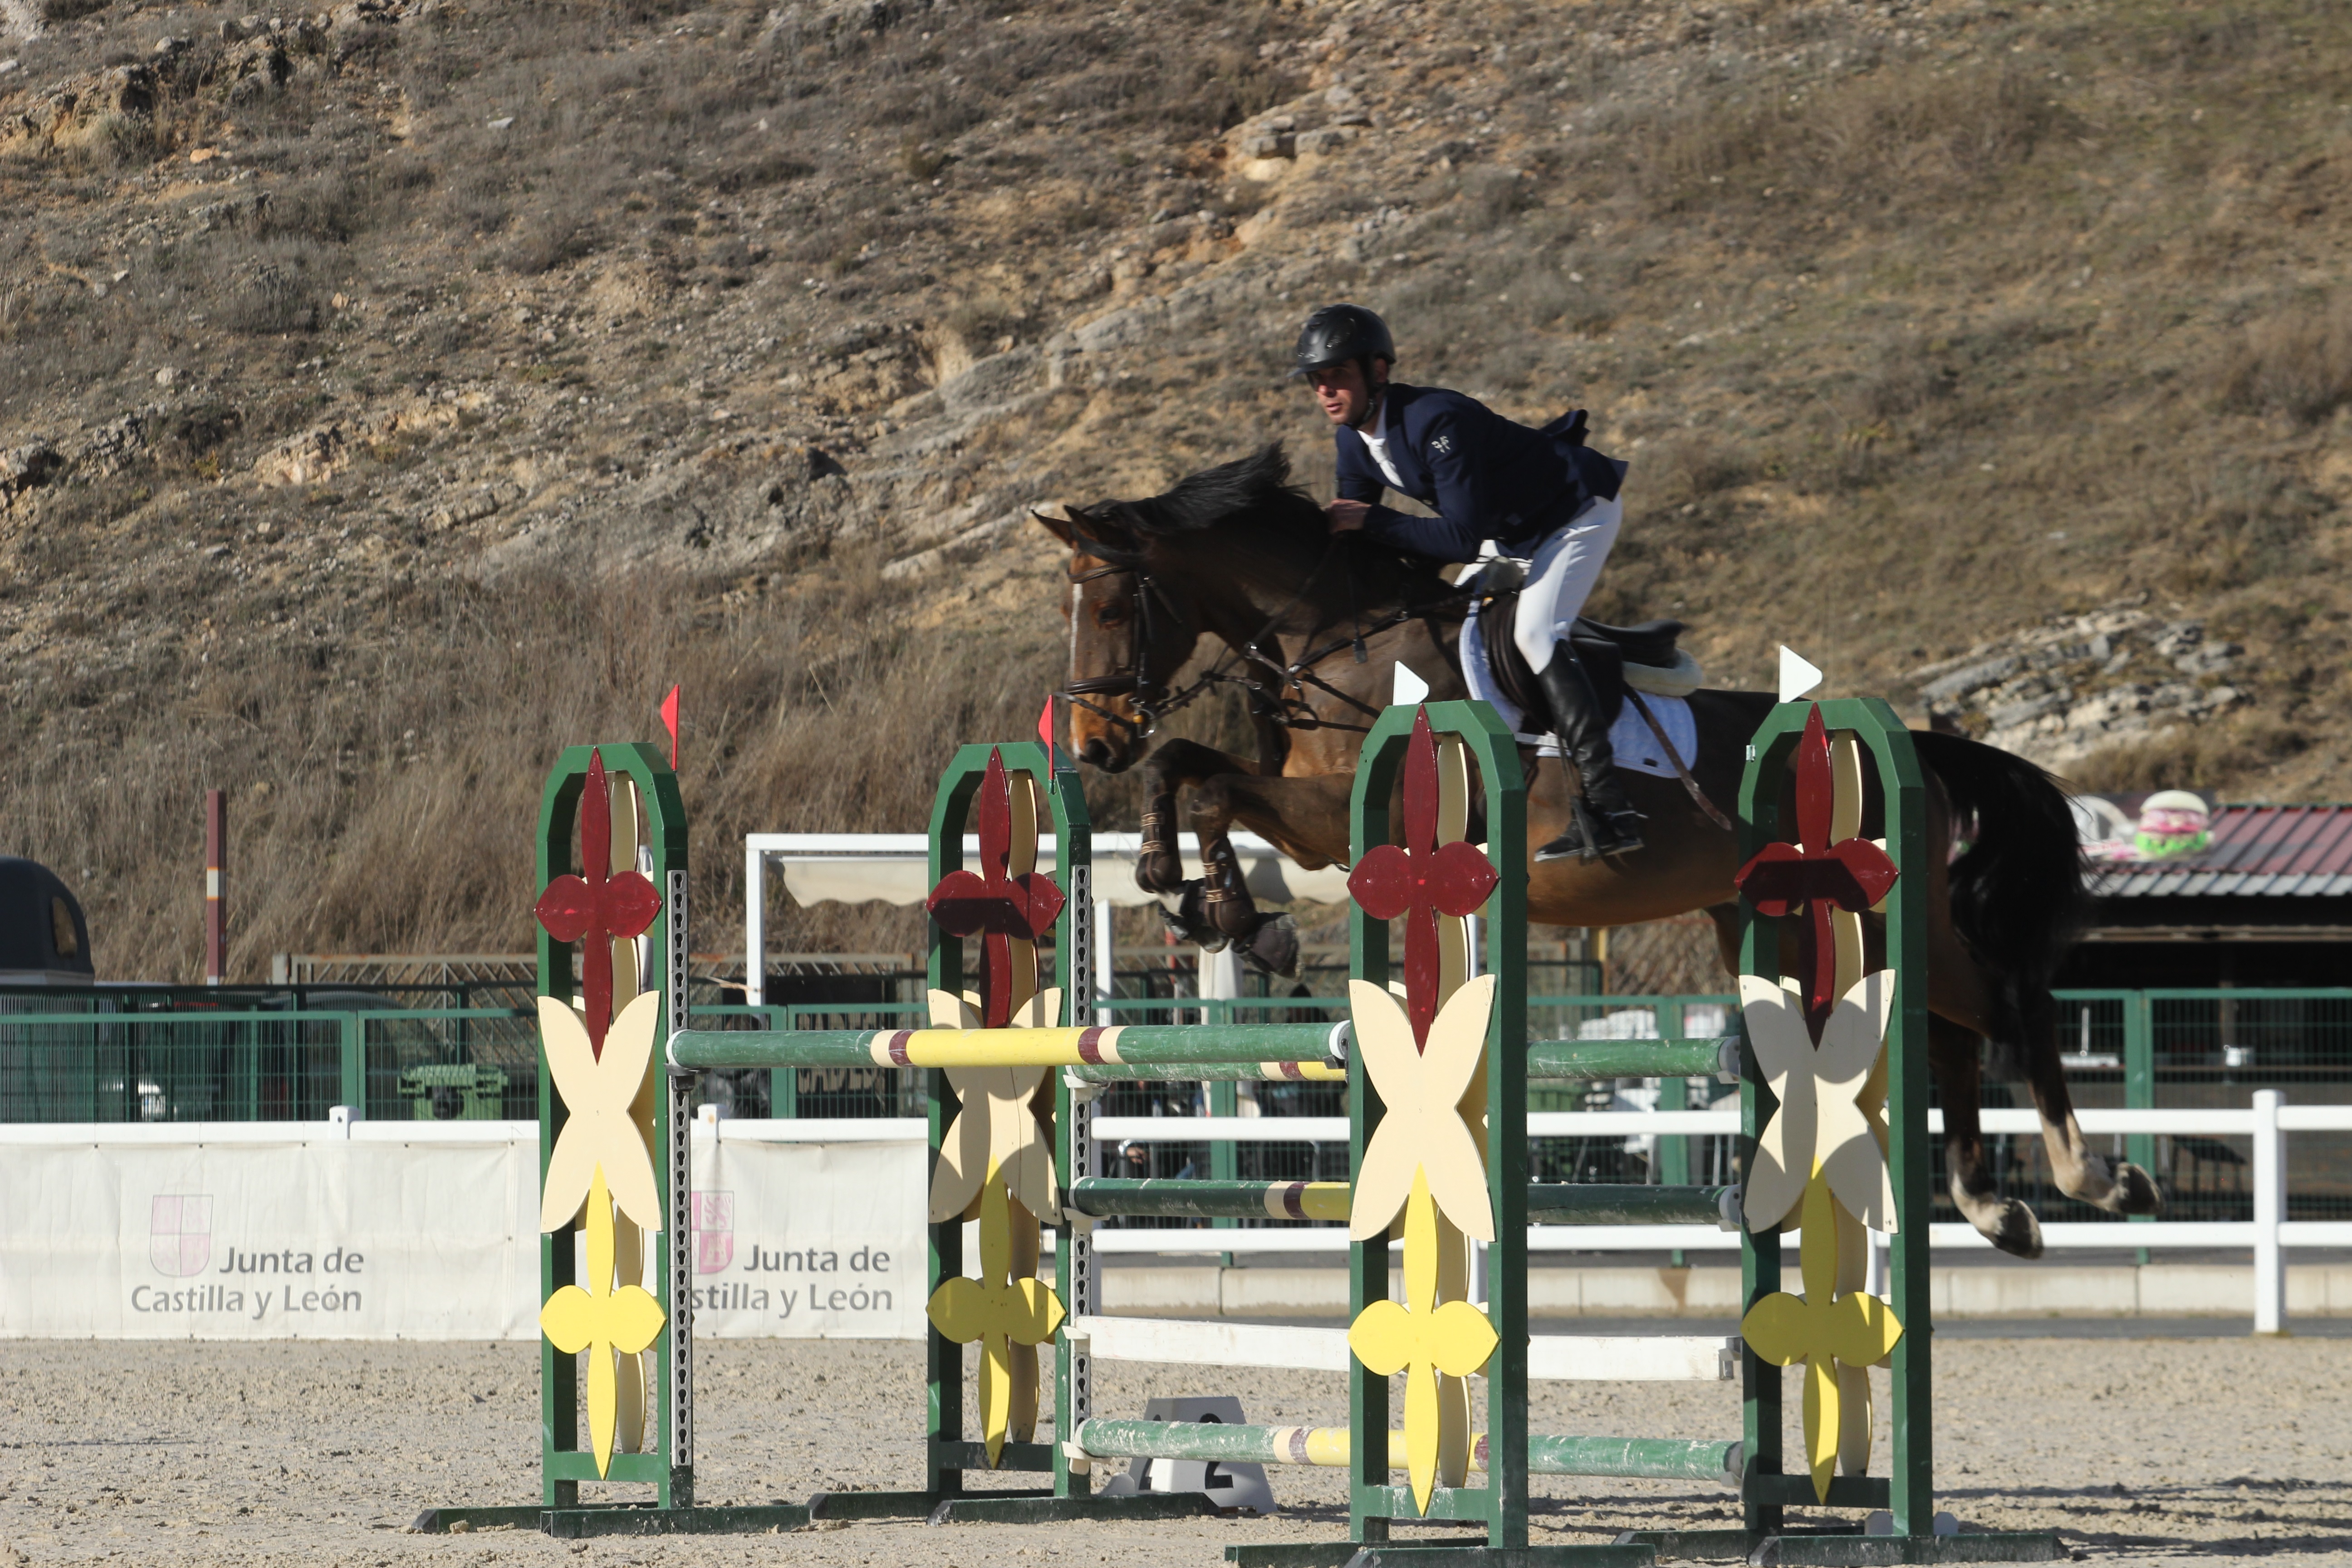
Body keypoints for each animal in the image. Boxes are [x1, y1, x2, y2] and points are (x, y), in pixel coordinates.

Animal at [1039, 444, 2154, 1260]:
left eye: (1112, 605)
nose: (1091, 742)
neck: (1342, 642)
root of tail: (1912, 743)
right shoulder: (1318, 827)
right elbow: (1191, 770)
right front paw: (1200, 898)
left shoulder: (1341, 816)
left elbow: (1207, 781)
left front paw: (1225, 910)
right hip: (1800, 924)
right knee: (1954, 1031)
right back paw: (1993, 1207)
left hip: (1882, 914)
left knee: (2006, 1005)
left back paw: (2092, 1179)